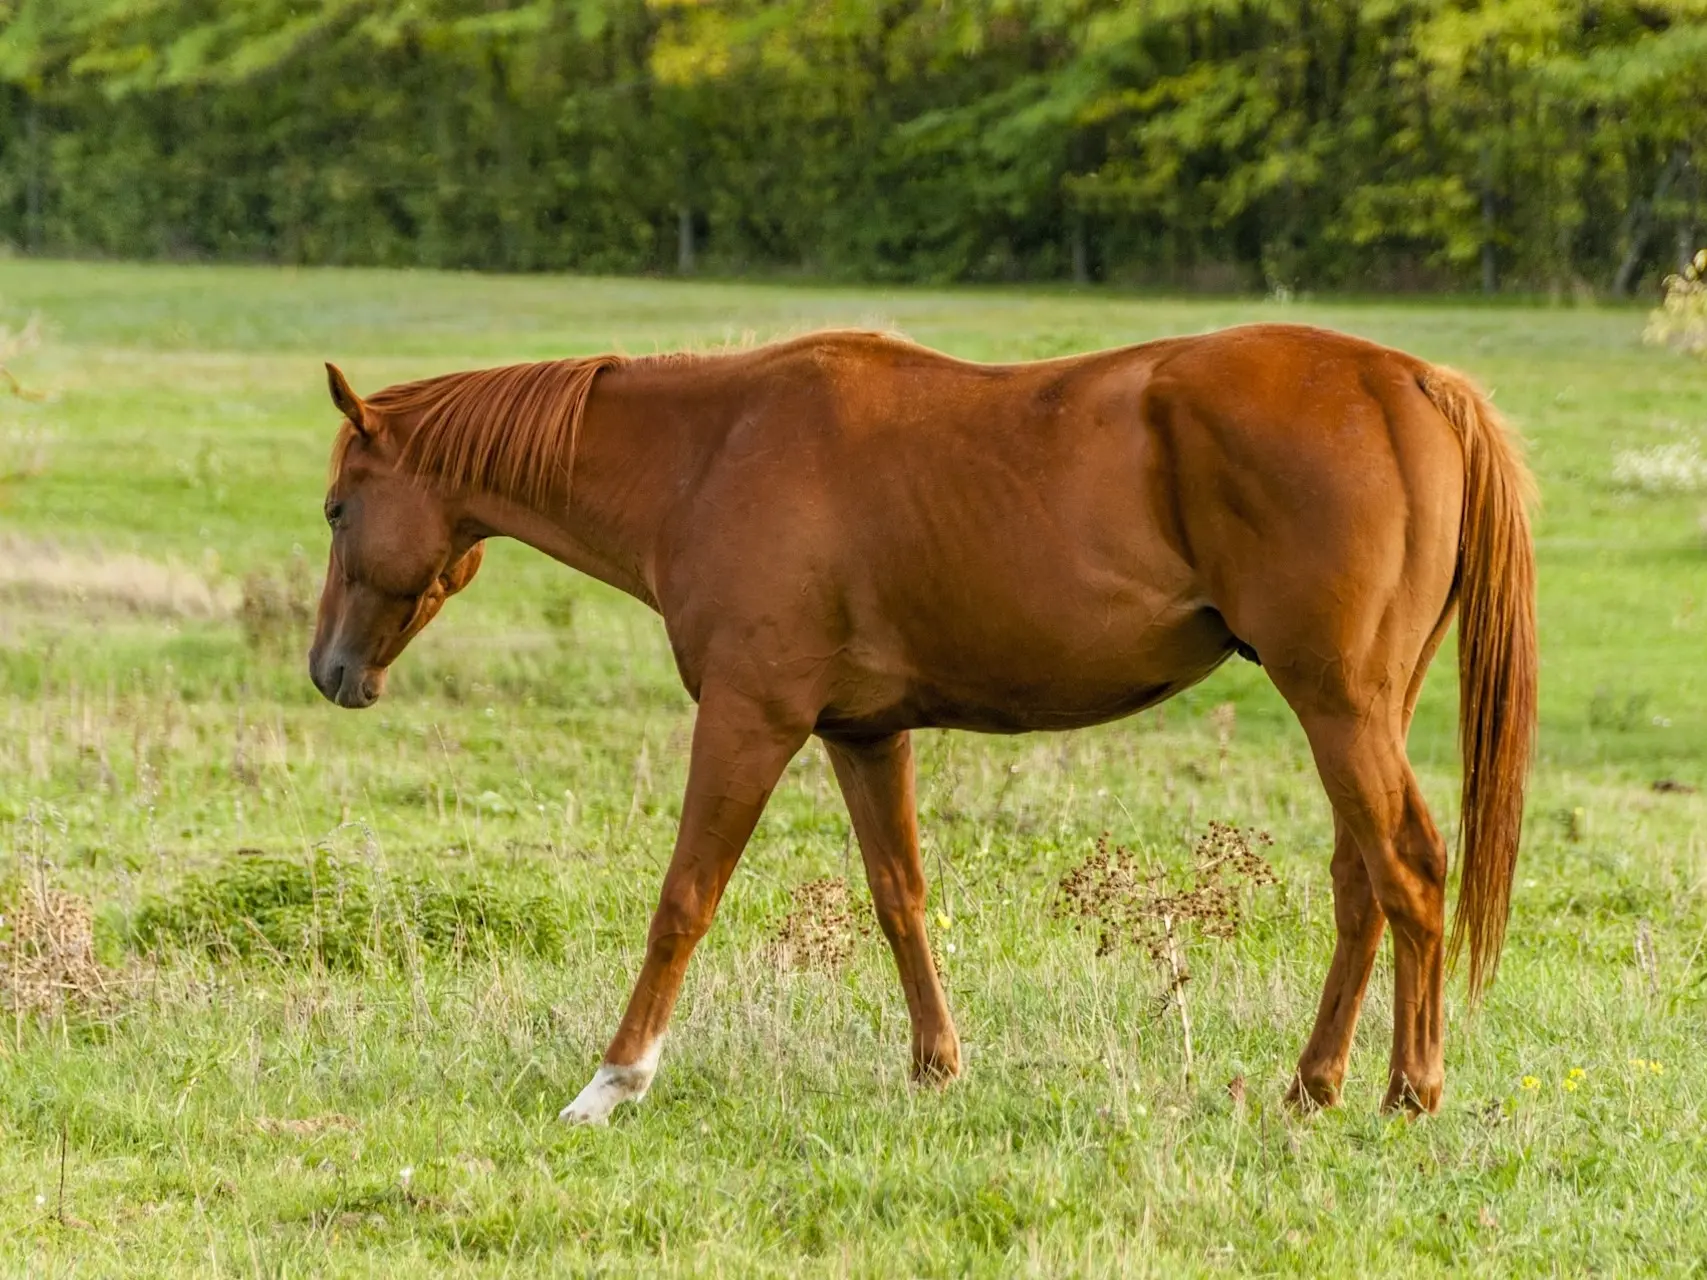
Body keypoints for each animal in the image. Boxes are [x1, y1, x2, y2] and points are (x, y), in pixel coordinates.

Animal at [314, 325, 1543, 1126]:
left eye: (334, 509)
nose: (329, 670)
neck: (709, 455)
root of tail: (1411, 382)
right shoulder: (862, 733)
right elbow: (900, 897)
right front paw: (936, 1067)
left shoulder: (750, 720)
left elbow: (684, 899)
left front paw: (613, 1081)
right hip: (1363, 712)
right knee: (1362, 882)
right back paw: (1313, 1081)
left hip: (1338, 706)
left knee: (1408, 868)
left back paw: (1409, 1090)